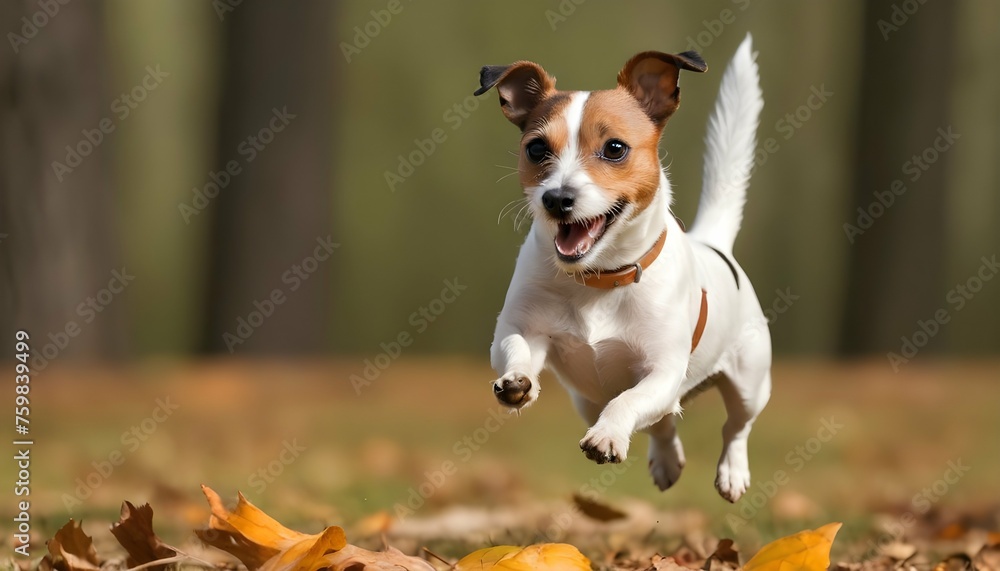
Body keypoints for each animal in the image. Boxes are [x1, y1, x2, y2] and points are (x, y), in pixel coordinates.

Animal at [474, 33, 764, 502]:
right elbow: (516, 350)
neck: (600, 279)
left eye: (615, 148)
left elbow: (627, 401)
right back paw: (667, 461)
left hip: (750, 382)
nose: (556, 199)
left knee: (736, 426)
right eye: (536, 148)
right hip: (586, 399)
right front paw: (518, 380)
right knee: (662, 425)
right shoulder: (522, 328)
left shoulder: (662, 372)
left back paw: (732, 472)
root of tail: (715, 243)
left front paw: (607, 434)